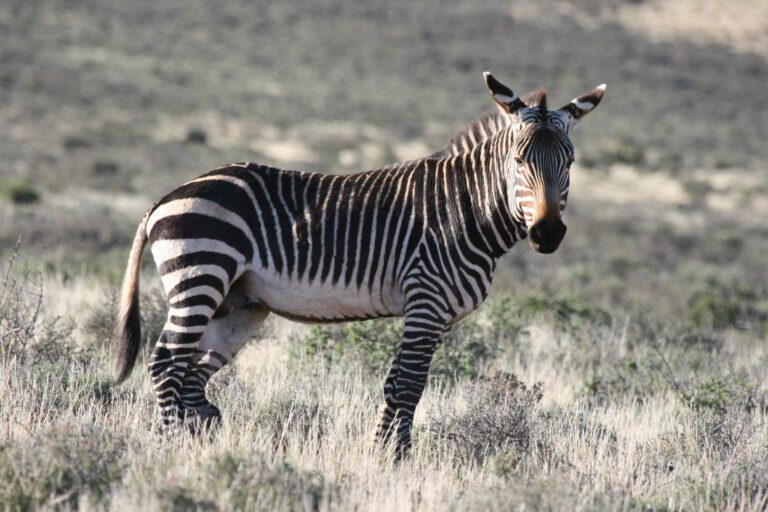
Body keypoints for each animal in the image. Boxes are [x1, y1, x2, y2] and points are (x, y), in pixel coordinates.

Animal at [113, 72, 605, 457]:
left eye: (570, 162)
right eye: (519, 160)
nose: (547, 234)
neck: (465, 209)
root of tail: (166, 197)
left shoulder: (438, 315)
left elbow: (401, 384)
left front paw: (383, 453)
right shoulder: (426, 303)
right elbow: (407, 385)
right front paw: (395, 459)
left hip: (239, 304)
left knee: (192, 374)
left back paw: (199, 434)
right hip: (200, 275)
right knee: (166, 363)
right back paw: (169, 444)